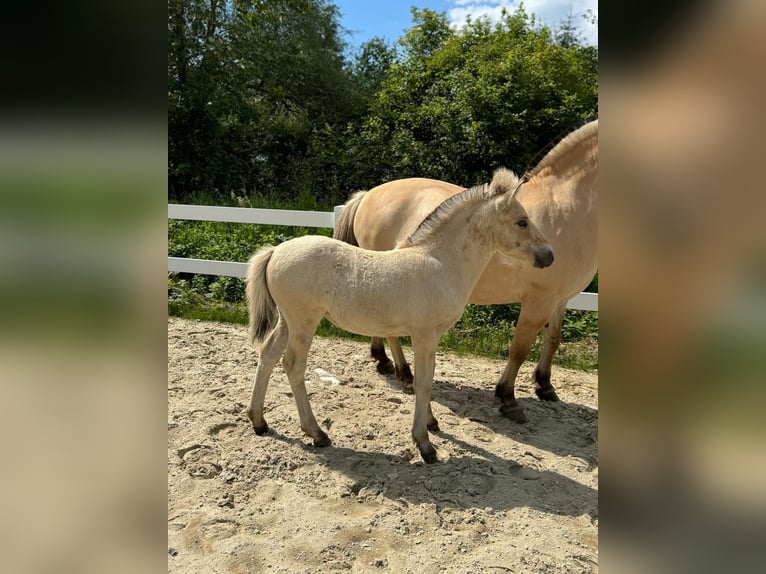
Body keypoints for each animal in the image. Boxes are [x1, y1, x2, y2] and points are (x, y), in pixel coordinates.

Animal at [249, 169, 556, 466]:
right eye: (521, 222)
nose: (549, 256)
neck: (441, 263)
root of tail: (275, 251)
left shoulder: (430, 337)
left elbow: (426, 379)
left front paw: (431, 424)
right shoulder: (424, 334)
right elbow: (424, 382)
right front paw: (425, 445)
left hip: (287, 321)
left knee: (268, 355)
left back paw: (259, 421)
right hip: (303, 322)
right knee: (293, 366)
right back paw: (316, 433)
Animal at [336, 119, 600, 424]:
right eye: (521, 223)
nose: (548, 256)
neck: (566, 209)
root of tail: (368, 194)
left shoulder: (560, 300)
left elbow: (553, 340)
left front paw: (545, 386)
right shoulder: (538, 301)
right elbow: (519, 349)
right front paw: (508, 399)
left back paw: (384, 362)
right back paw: (405, 373)